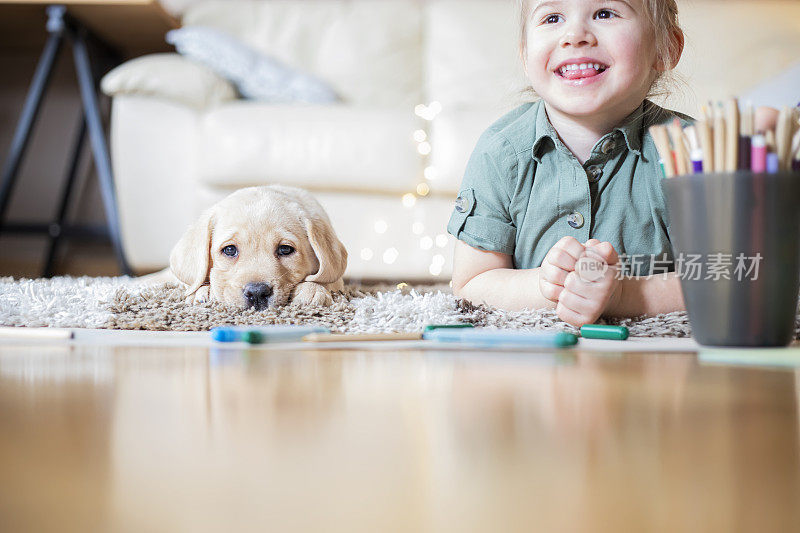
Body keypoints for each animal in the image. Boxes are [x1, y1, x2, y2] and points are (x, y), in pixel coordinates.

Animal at [170, 185, 348, 308]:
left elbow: (327, 276)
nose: (257, 293)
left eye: (285, 249)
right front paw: (204, 291)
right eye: (230, 250)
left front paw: (313, 289)